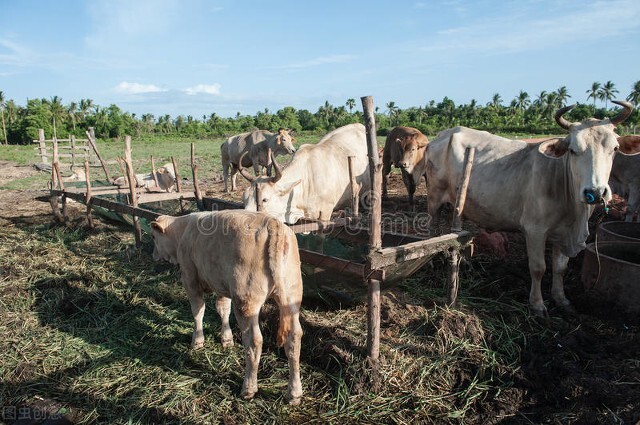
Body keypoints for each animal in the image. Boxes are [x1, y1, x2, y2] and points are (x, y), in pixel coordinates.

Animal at [151, 210, 304, 402]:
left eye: (154, 237)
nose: (153, 255)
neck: (182, 231)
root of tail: (272, 223)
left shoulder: (190, 279)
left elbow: (198, 311)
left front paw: (197, 341)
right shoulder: (221, 284)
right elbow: (223, 309)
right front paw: (227, 339)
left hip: (246, 301)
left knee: (254, 342)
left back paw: (248, 388)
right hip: (292, 297)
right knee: (294, 338)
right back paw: (294, 393)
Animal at [428, 101, 632, 316]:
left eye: (615, 148)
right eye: (573, 150)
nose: (595, 191)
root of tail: (443, 135)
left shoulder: (563, 233)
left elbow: (560, 268)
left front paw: (561, 299)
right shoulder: (535, 230)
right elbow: (538, 268)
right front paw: (537, 304)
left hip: (458, 202)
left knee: (457, 231)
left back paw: (463, 262)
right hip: (434, 199)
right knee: (432, 229)